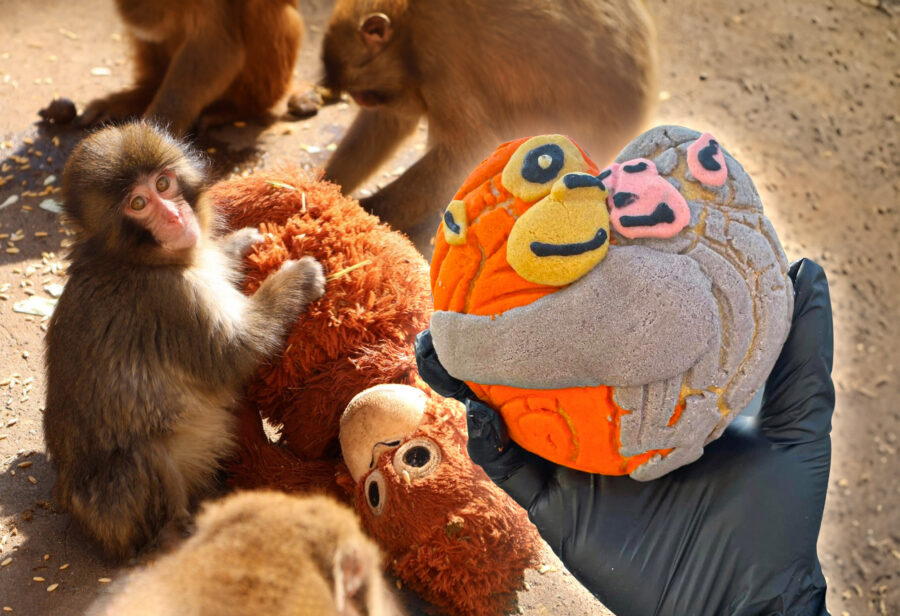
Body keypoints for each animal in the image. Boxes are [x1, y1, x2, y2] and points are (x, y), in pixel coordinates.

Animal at [44, 121, 326, 561]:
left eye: (164, 183)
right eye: (139, 203)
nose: (175, 216)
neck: (135, 259)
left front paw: (238, 244)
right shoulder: (172, 299)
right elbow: (235, 353)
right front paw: (296, 279)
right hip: (115, 512)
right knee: (144, 456)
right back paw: (176, 534)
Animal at [320, 0, 659, 252]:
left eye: (365, 95)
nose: (364, 101)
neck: (408, 24)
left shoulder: (440, 53)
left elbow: (468, 148)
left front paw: (361, 212)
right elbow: (391, 123)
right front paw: (325, 185)